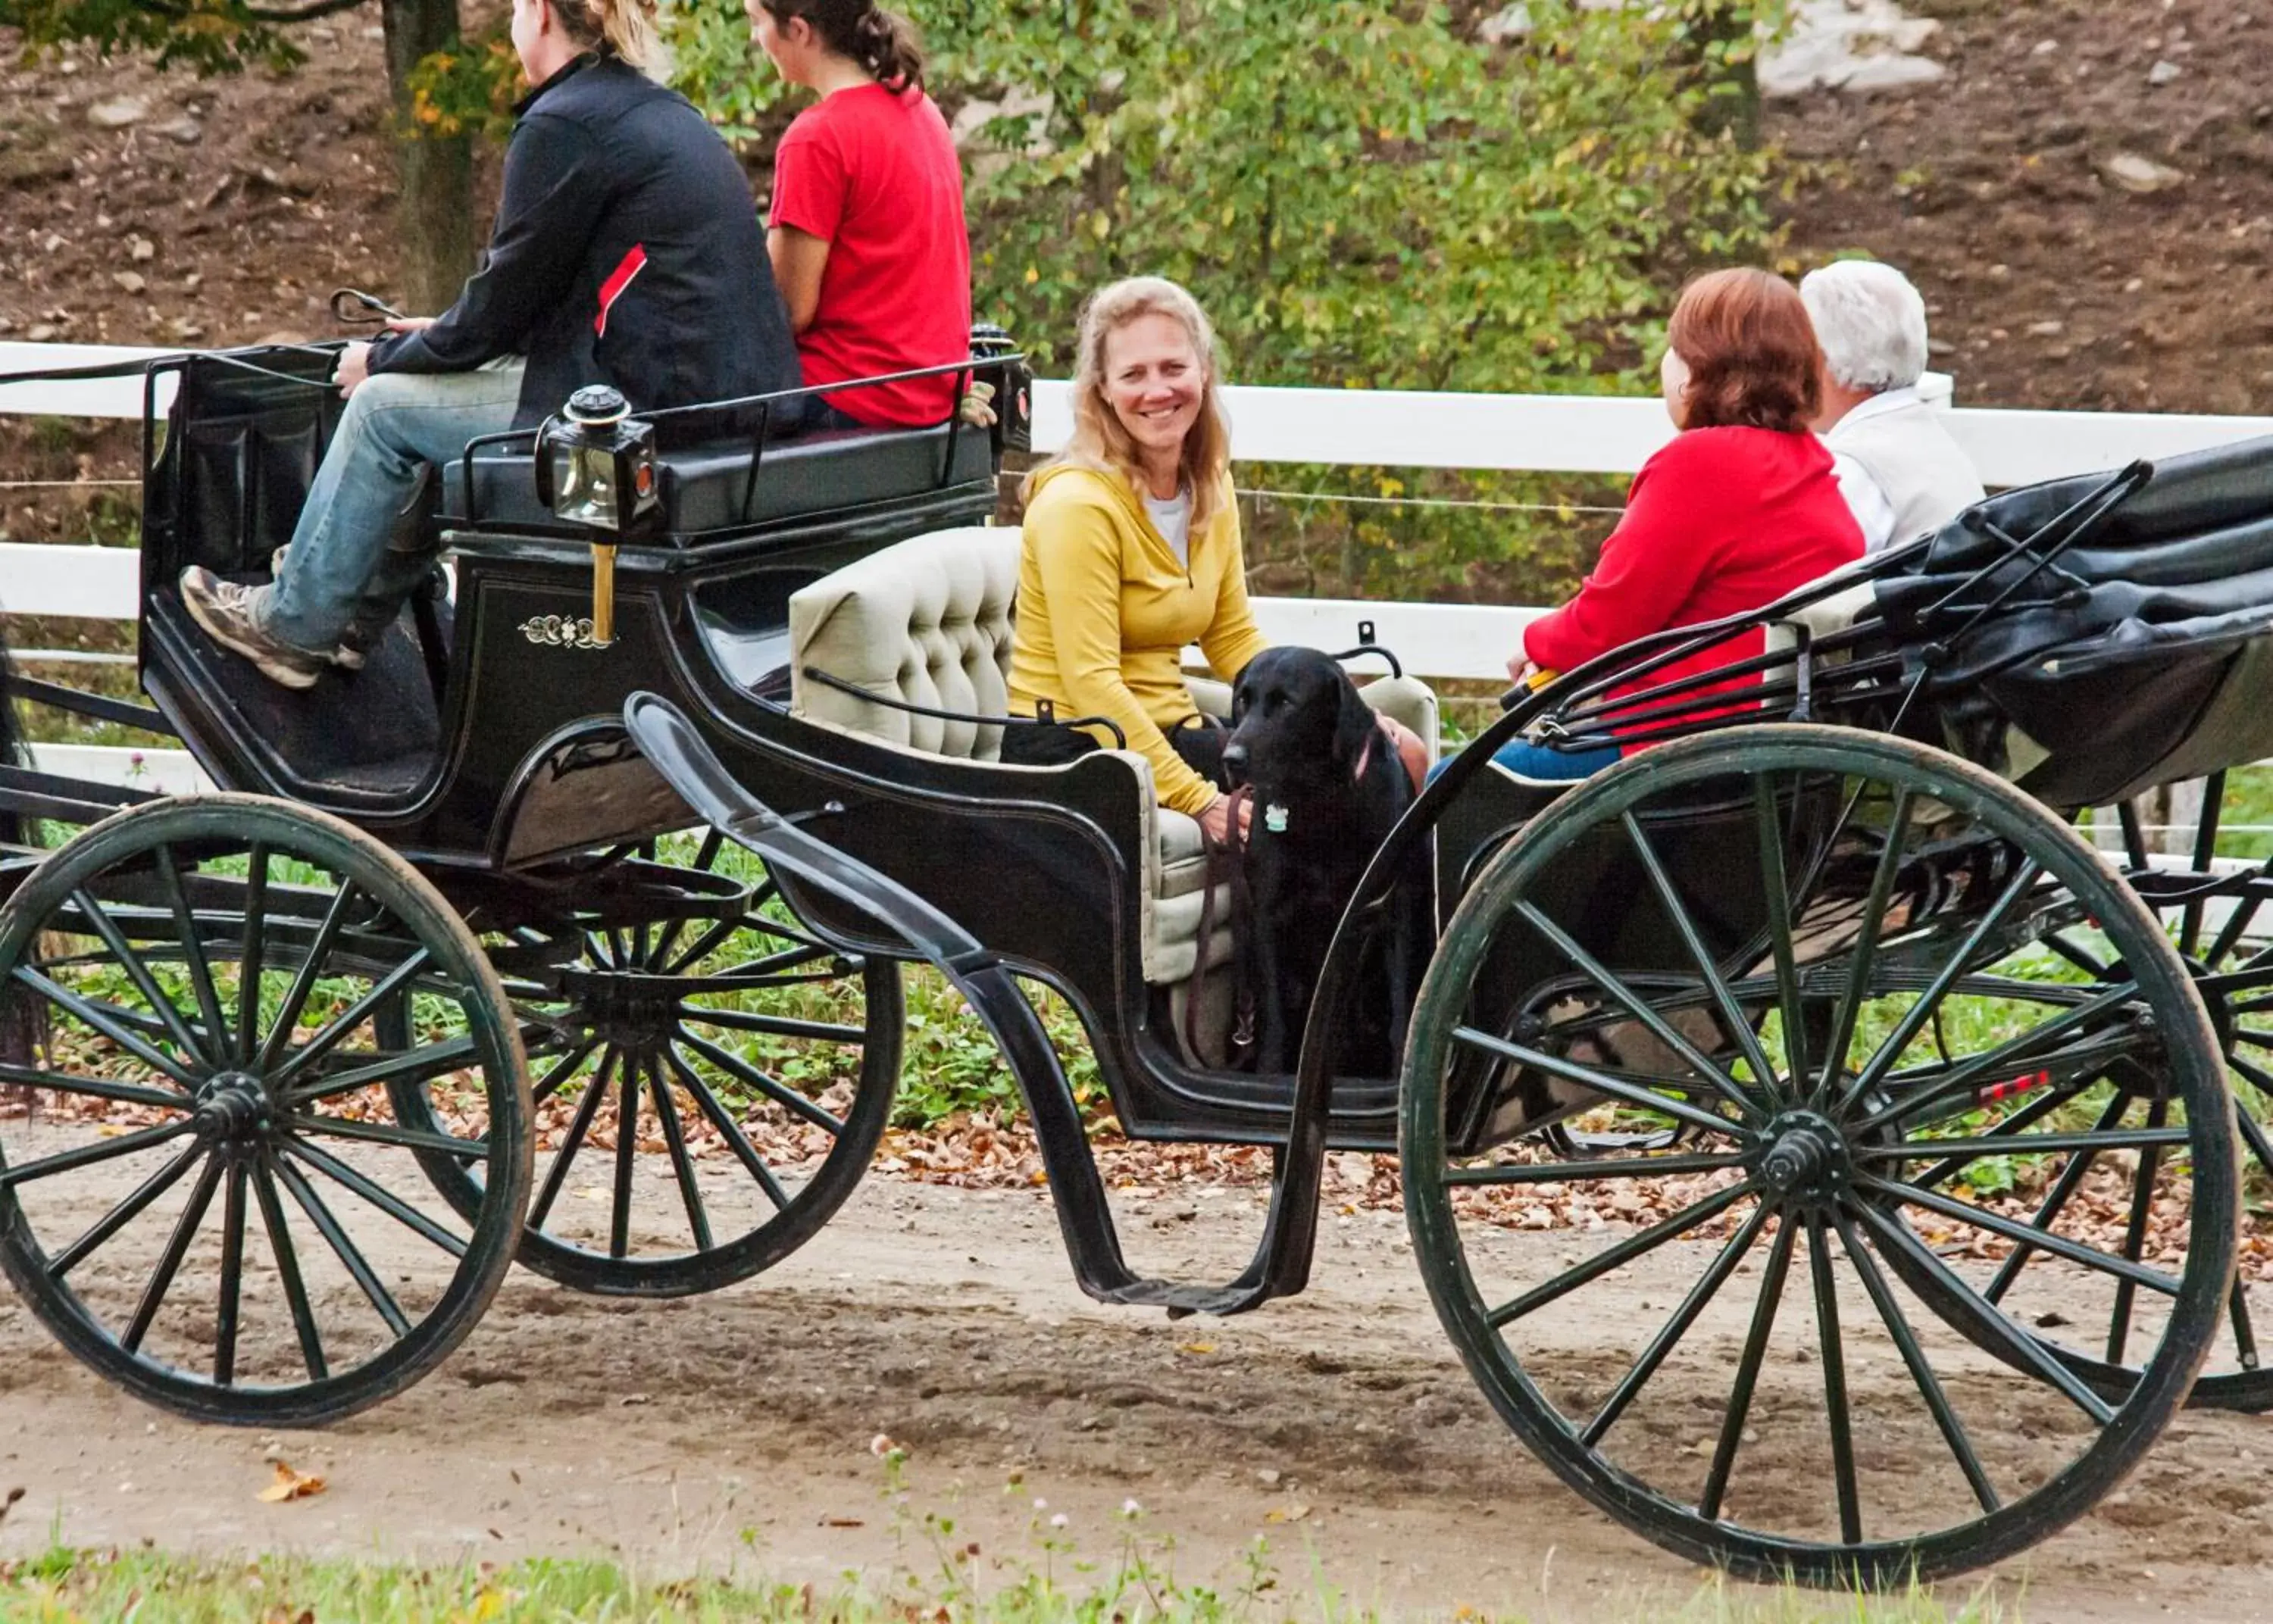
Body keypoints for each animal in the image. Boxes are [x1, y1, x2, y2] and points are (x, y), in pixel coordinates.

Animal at [1218, 649, 1427, 1081]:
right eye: (1243, 700)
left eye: (1287, 703)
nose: (1231, 758)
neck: (1320, 801)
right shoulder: (1267, 915)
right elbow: (1275, 1019)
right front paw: (1270, 1076)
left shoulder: (1394, 912)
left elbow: (1403, 1010)